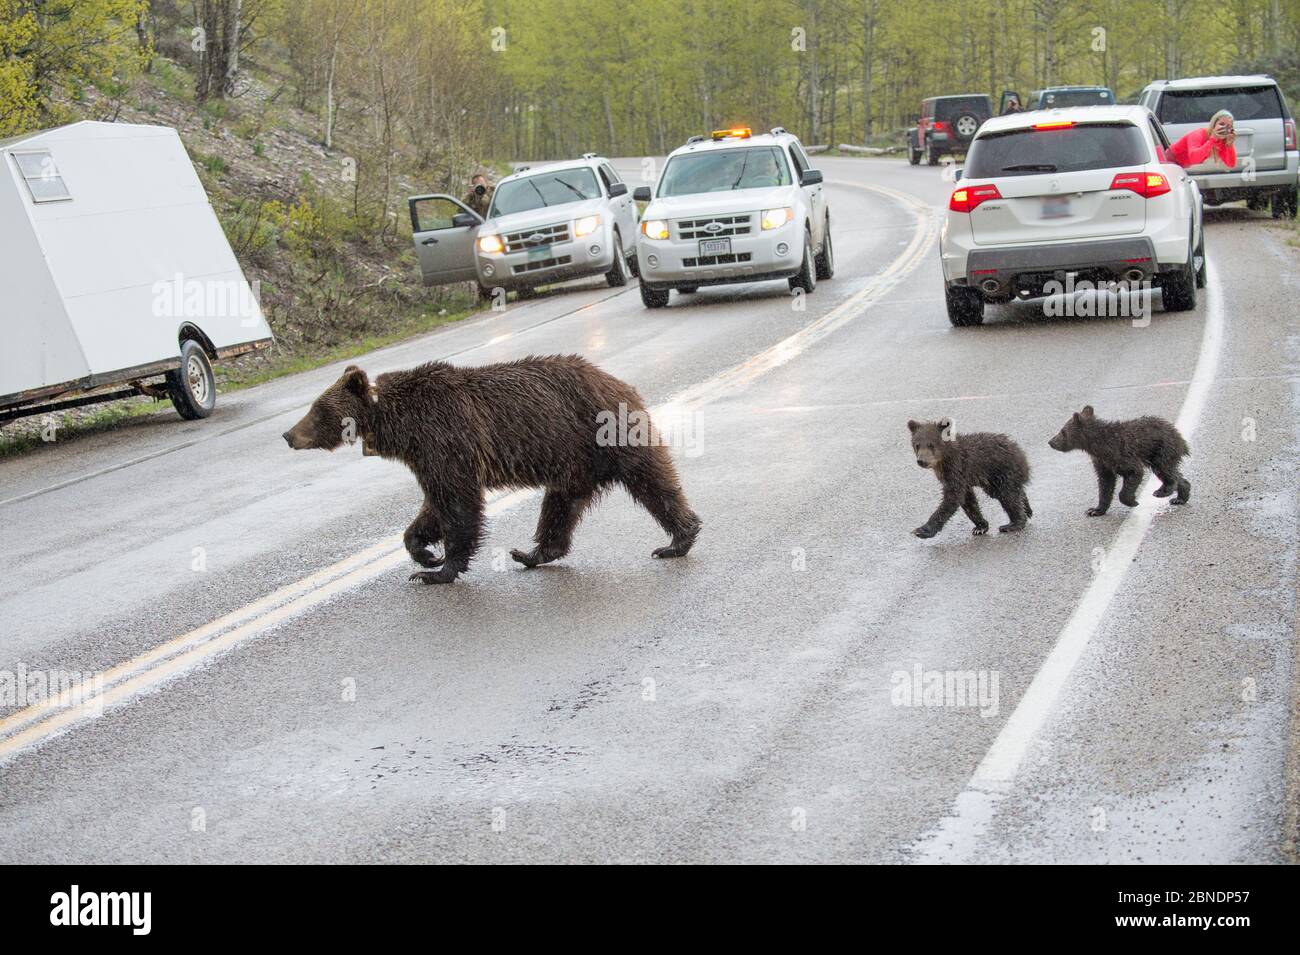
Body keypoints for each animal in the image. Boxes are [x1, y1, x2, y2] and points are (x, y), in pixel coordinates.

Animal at [282, 355, 702, 584]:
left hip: (604, 434)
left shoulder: (445, 439)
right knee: (560, 507)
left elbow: (458, 502)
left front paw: (438, 570)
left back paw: (678, 538)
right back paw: (532, 553)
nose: (288, 434)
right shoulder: (427, 456)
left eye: (317, 409)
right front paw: (424, 553)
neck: (398, 424)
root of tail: (621, 382)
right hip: (573, 463)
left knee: (652, 482)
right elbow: (433, 505)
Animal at [1048, 405, 1191, 515]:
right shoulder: (1102, 462)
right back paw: (1180, 498)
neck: (1097, 445)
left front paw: (1132, 501)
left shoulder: (1120, 454)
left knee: (1165, 469)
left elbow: (1134, 472)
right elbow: (1105, 484)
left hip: (1161, 450)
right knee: (1174, 473)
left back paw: (1163, 491)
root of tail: (1181, 439)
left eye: (1062, 431)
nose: (1051, 442)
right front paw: (1095, 510)